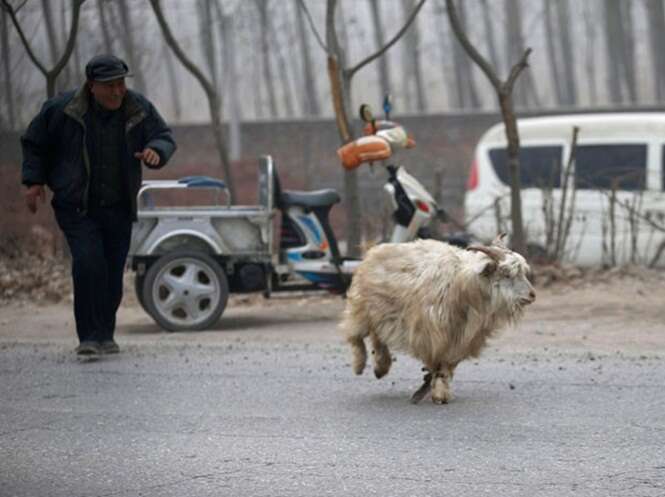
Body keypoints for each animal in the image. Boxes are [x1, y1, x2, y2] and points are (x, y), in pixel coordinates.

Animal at [342, 233, 536, 404]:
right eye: (506, 274)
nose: (532, 295)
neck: (464, 287)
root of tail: (373, 250)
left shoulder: (461, 339)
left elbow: (447, 365)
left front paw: (439, 392)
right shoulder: (432, 335)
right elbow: (436, 362)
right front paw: (434, 391)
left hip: (382, 314)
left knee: (377, 336)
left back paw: (381, 367)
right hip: (361, 307)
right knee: (355, 335)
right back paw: (360, 365)